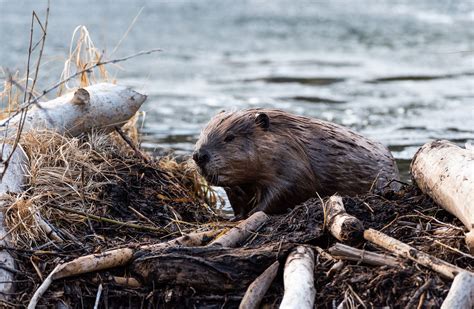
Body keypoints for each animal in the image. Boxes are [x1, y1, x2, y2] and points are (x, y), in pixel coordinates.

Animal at [193, 108, 400, 219]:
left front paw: (253, 213)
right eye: (203, 132)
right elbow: (237, 198)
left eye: (230, 137)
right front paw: (237, 217)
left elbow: (283, 192)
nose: (199, 155)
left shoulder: (294, 167)